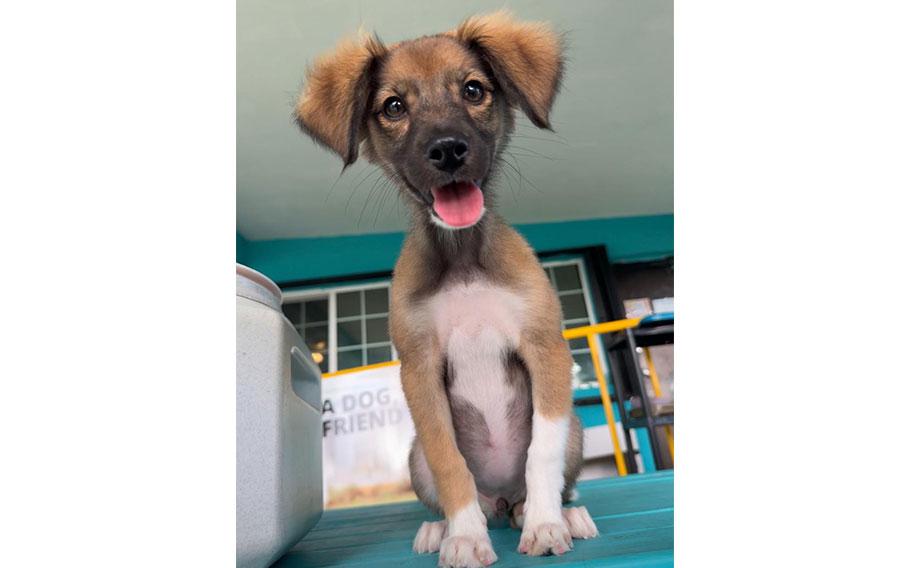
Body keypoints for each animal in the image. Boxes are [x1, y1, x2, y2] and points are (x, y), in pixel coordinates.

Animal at [298, 11, 600, 564]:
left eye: (474, 89)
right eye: (393, 106)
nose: (447, 150)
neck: (462, 262)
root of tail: (500, 498)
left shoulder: (544, 347)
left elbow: (540, 454)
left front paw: (546, 525)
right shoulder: (419, 369)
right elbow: (449, 460)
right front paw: (462, 535)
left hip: (574, 429)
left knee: (542, 484)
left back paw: (553, 513)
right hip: (413, 454)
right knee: (463, 489)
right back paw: (444, 526)